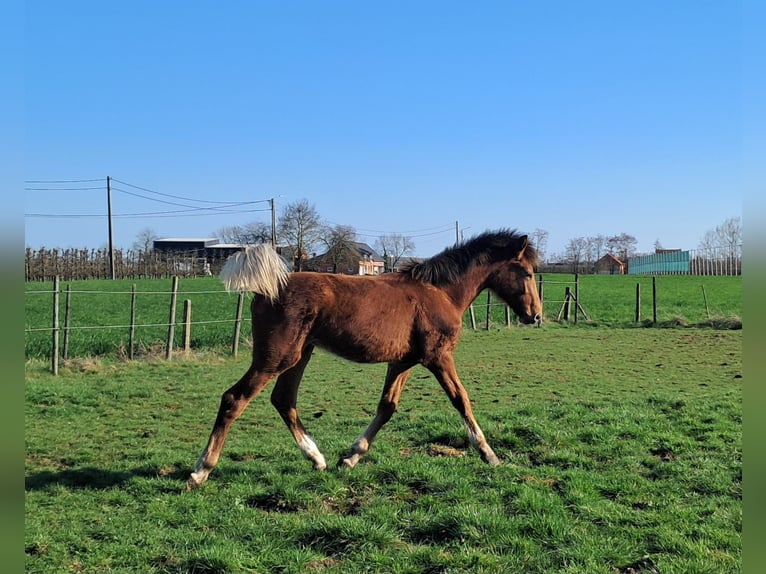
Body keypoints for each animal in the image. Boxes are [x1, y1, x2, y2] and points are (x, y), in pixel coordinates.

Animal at [187, 229, 542, 489]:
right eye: (526, 273)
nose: (535, 315)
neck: (439, 292)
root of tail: (269, 286)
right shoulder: (437, 356)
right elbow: (461, 400)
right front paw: (489, 454)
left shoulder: (402, 362)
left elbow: (387, 407)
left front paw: (350, 457)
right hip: (276, 357)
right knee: (235, 398)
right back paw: (201, 471)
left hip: (300, 355)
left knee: (284, 400)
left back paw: (317, 459)